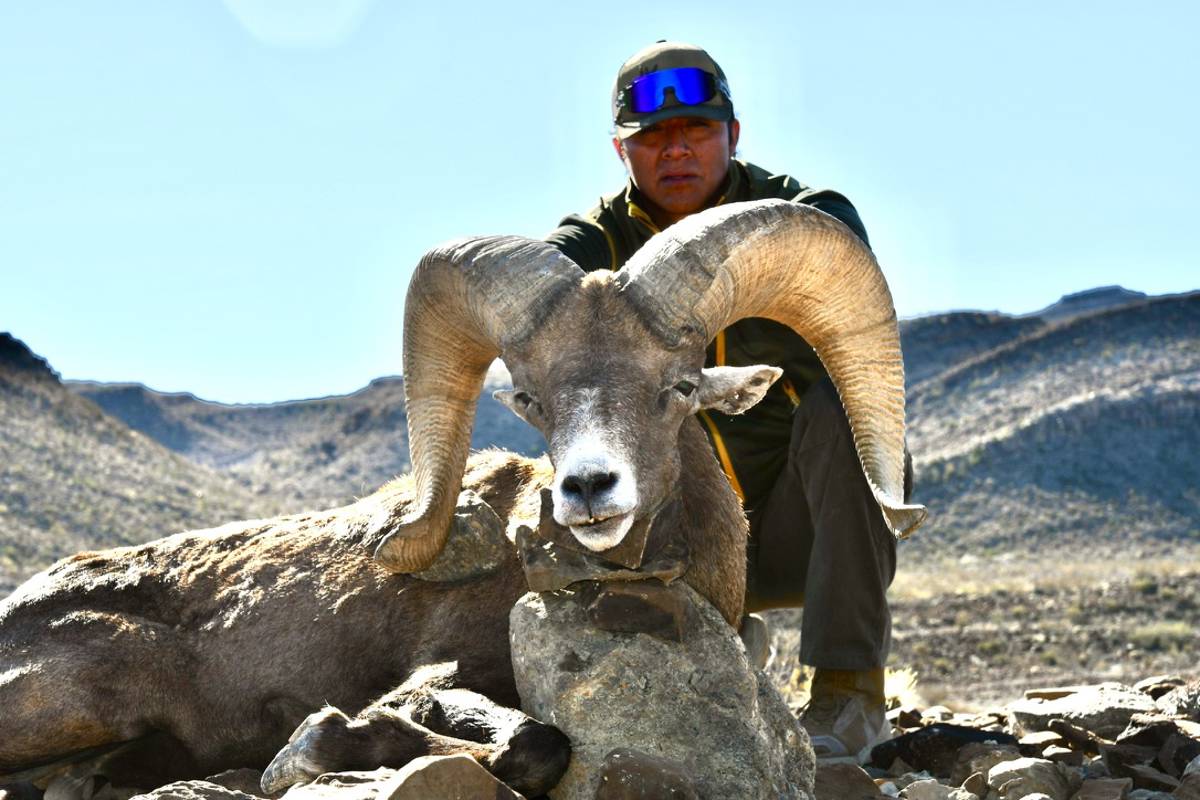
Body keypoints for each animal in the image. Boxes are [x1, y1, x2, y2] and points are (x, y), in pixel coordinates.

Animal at [0, 199, 925, 798]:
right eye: (532, 399)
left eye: (680, 386)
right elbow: (526, 743)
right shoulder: (438, 676)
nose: (589, 489)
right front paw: (313, 748)